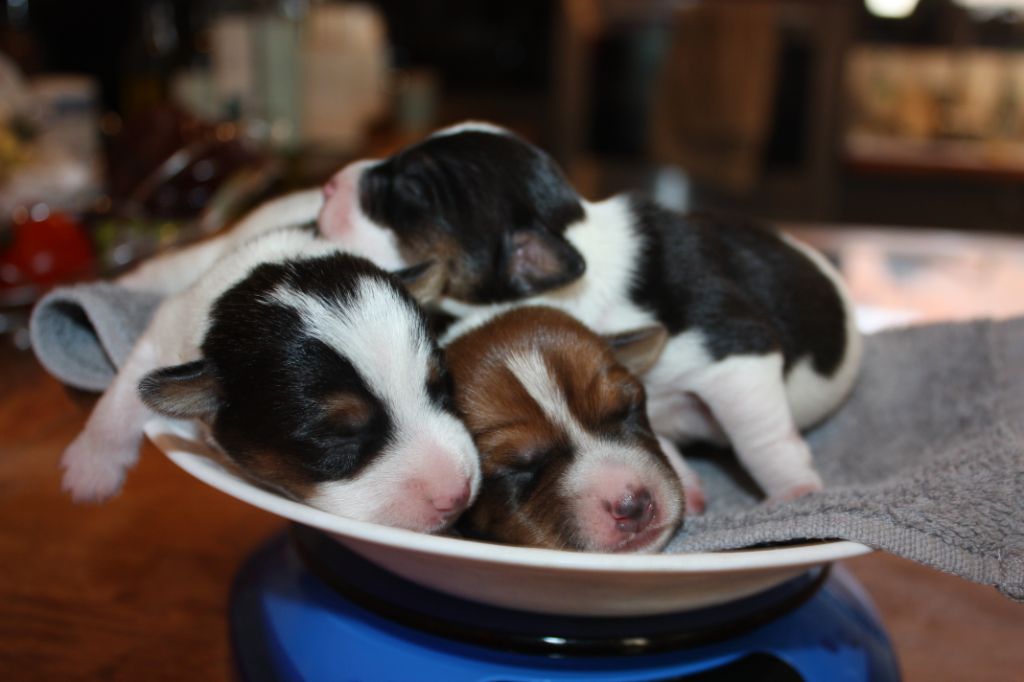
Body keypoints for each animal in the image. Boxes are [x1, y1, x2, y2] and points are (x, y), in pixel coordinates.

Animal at [60, 228, 479, 532]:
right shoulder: (165, 334)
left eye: (441, 387)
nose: (457, 494)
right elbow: (124, 392)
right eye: (337, 439)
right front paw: (91, 469)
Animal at [321, 120, 864, 499]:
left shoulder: (737, 353)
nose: (327, 185)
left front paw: (794, 489)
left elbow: (760, 437)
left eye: (412, 190)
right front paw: (683, 482)